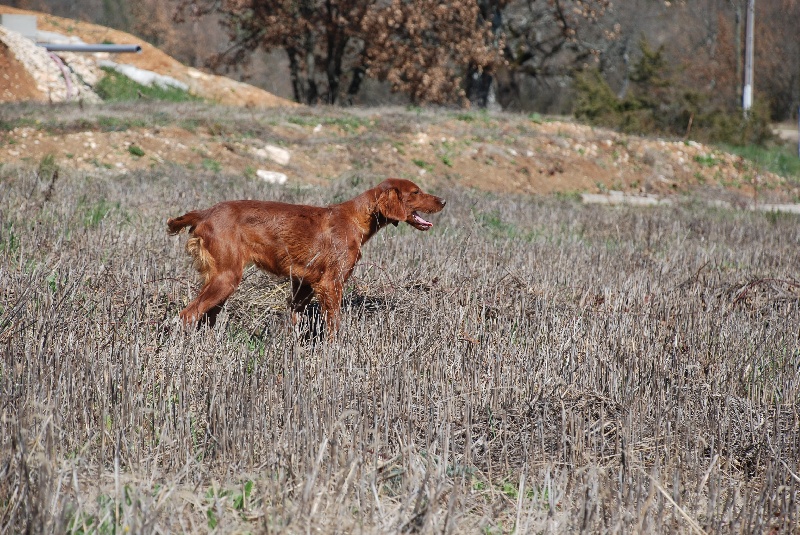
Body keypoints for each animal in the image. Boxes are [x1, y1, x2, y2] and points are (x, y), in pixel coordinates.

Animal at [167, 178, 444, 332]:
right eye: (416, 192)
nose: (443, 201)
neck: (356, 218)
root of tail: (205, 212)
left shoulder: (303, 285)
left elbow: (293, 319)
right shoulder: (331, 284)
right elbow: (333, 326)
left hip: (221, 283)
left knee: (204, 317)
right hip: (226, 277)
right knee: (187, 315)